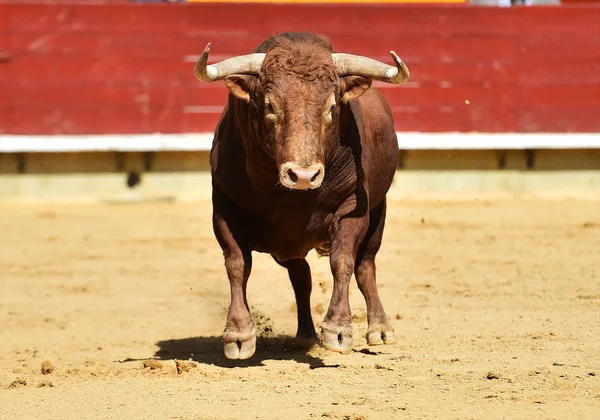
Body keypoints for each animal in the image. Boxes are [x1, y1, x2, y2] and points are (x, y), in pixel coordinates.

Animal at [195, 33, 410, 360]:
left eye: (332, 107)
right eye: (269, 106)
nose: (304, 176)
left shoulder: (353, 208)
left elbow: (343, 261)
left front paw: (339, 329)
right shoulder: (224, 208)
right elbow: (237, 264)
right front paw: (239, 334)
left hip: (379, 212)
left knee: (365, 265)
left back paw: (380, 328)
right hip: (286, 247)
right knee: (302, 277)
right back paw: (305, 335)